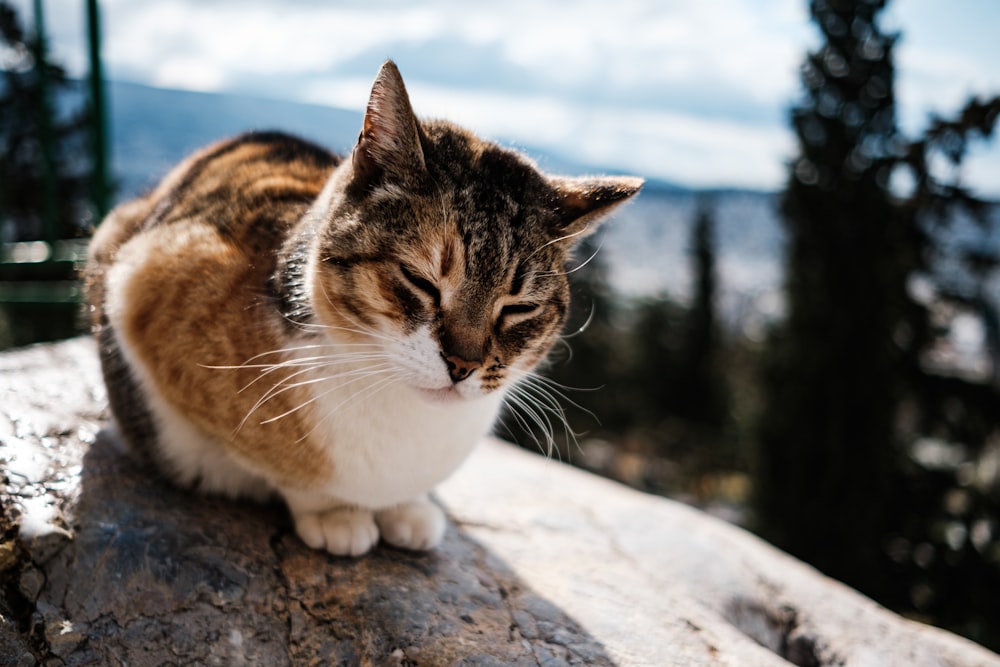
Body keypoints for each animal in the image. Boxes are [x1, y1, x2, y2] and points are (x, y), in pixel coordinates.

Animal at [86, 60, 640, 556]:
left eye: (518, 308)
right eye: (421, 281)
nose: (464, 365)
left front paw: (407, 508)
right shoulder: (141, 279)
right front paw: (334, 513)